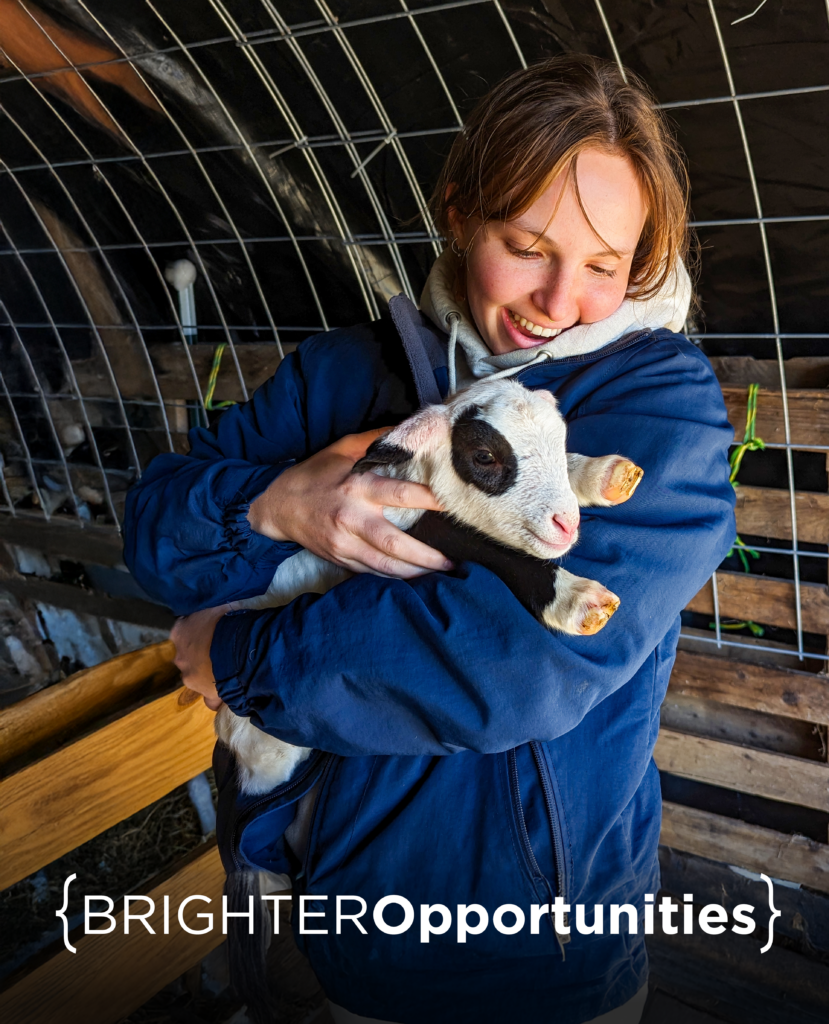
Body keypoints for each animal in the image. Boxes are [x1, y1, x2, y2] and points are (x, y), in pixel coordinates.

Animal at [212, 378, 638, 798]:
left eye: (561, 441)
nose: (566, 524)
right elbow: (475, 544)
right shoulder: (411, 530)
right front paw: (578, 600)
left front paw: (602, 474)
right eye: (484, 456)